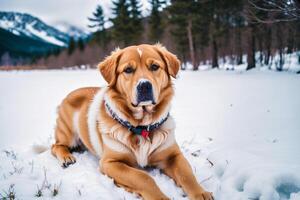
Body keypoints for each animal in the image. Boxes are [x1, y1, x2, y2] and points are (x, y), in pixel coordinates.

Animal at [51, 43, 212, 200]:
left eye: (154, 67)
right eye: (128, 69)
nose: (144, 85)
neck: (143, 126)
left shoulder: (173, 155)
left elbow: (187, 175)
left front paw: (201, 193)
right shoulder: (110, 162)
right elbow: (143, 177)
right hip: (68, 134)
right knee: (56, 146)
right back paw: (66, 157)